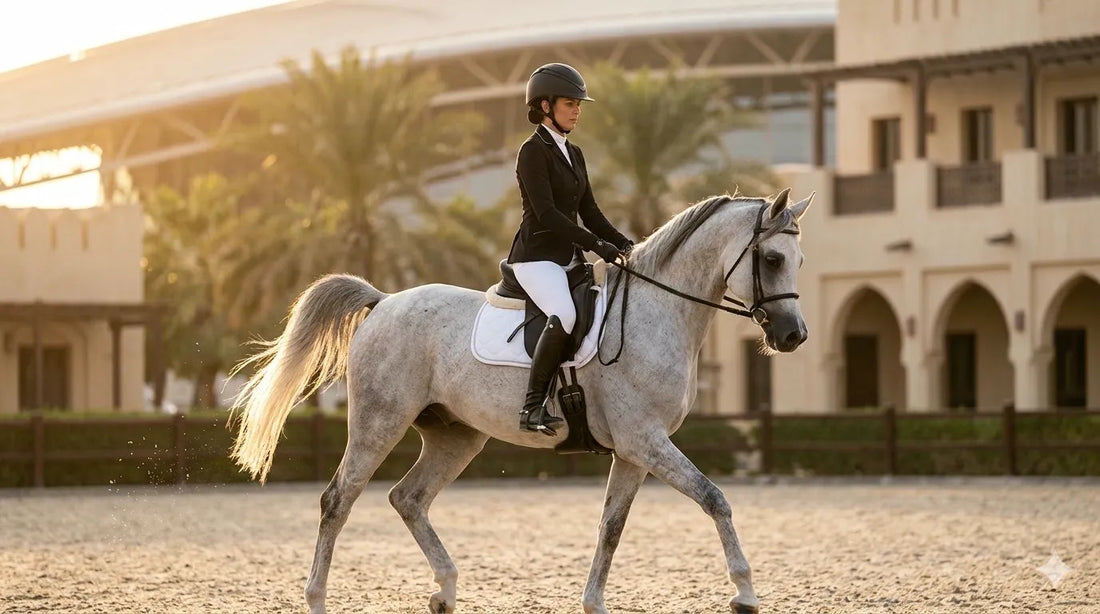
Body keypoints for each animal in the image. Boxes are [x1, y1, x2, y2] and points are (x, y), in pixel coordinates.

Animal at [229, 188, 813, 614]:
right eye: (772, 257)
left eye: (799, 260)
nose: (793, 336)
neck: (657, 313)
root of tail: (384, 301)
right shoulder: (646, 441)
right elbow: (715, 498)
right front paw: (744, 592)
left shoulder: (634, 450)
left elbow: (611, 527)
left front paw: (594, 603)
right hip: (379, 423)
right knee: (338, 501)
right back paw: (317, 598)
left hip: (456, 436)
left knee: (408, 498)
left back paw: (445, 591)